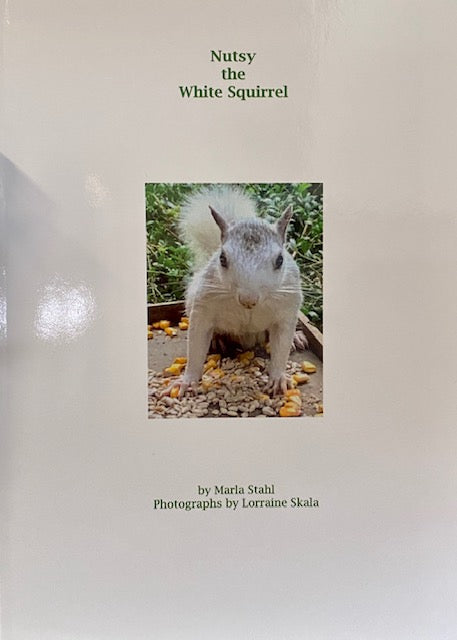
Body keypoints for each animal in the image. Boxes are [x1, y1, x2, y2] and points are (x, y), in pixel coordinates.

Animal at [163, 185, 303, 398]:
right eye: (222, 258)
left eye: (280, 260)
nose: (248, 299)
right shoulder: (203, 306)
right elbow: (196, 344)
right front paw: (186, 381)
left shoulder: (286, 311)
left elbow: (282, 346)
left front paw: (278, 378)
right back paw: (218, 340)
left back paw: (297, 337)